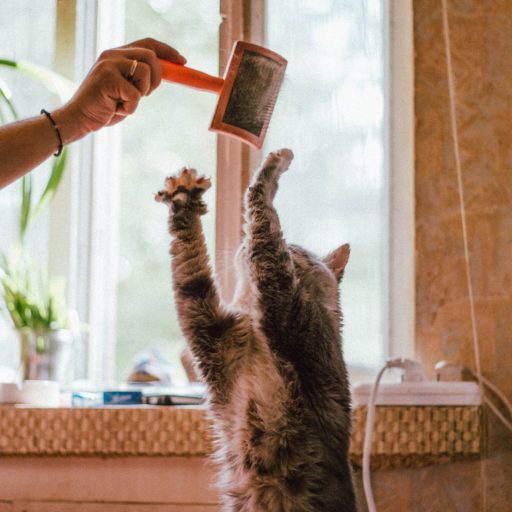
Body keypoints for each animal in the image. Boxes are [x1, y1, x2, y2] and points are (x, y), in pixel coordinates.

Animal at [156, 149, 356, 512]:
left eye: (294, 248)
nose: (240, 244)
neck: (256, 332)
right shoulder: (208, 327)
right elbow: (190, 266)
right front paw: (183, 202)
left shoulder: (285, 300)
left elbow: (260, 207)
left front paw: (275, 165)